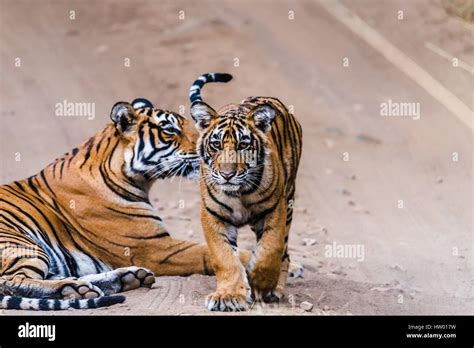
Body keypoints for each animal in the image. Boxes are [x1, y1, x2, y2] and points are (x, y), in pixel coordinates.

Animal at [190, 72, 304, 312]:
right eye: (216, 145)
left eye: (243, 145)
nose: (227, 174)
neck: (238, 193)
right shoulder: (213, 216)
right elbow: (224, 257)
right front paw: (228, 296)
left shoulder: (275, 211)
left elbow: (269, 251)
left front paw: (259, 283)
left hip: (289, 199)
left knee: (284, 252)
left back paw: (275, 289)